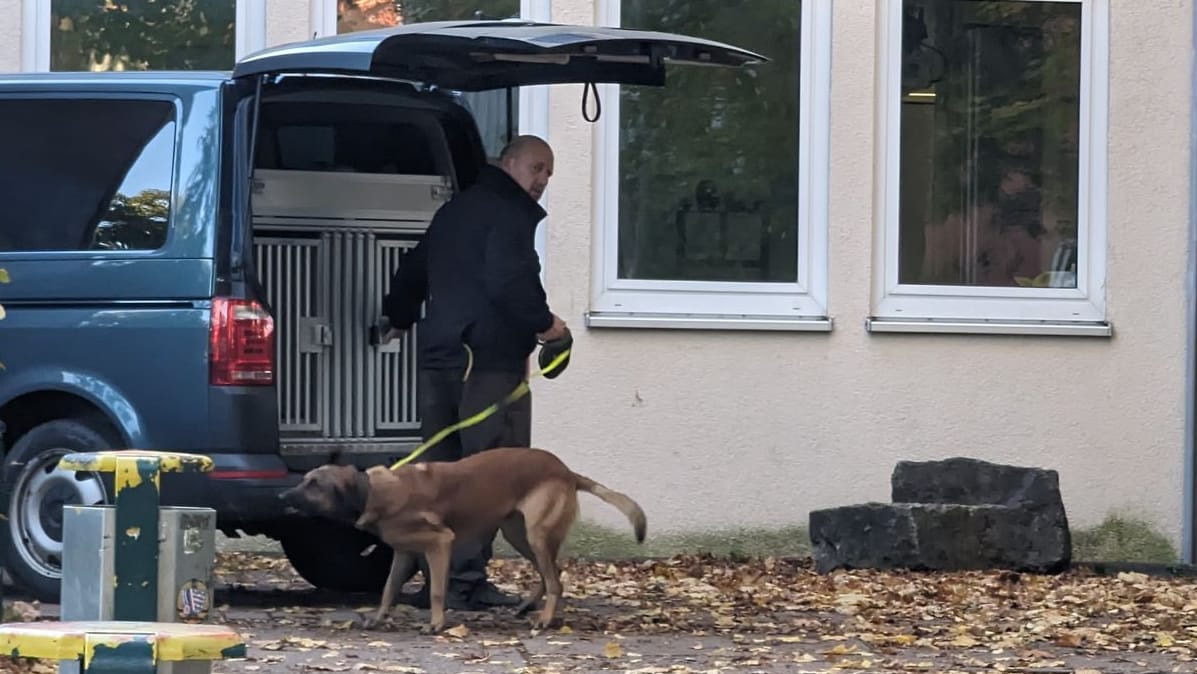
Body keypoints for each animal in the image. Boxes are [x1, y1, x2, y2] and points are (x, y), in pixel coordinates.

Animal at [278, 447, 646, 632]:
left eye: (314, 484)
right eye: (305, 480)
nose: (283, 495)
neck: (372, 492)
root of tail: (566, 471)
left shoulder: (441, 543)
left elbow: (438, 591)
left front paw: (436, 624)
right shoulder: (404, 554)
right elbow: (388, 589)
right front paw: (378, 618)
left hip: (536, 534)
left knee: (555, 580)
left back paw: (544, 619)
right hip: (519, 534)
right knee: (550, 575)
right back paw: (530, 608)